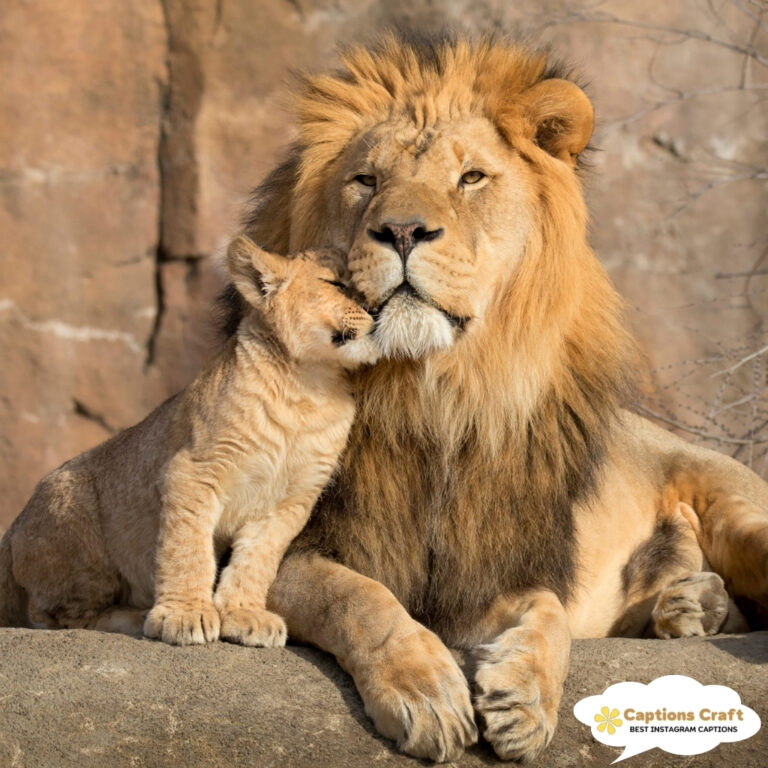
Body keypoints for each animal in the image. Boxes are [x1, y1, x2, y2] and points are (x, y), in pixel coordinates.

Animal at [0, 239, 378, 645]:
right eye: (335, 284)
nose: (377, 310)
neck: (310, 386)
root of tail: (11, 529)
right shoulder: (194, 470)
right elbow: (188, 548)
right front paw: (185, 615)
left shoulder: (290, 502)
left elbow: (257, 559)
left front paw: (244, 614)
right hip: (75, 520)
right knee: (53, 616)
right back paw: (134, 617)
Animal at [218, 32, 767, 763]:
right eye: (366, 181)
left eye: (470, 179)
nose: (401, 231)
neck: (434, 397)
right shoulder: (278, 547)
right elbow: (359, 597)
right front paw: (426, 692)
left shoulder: (494, 566)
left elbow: (549, 612)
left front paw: (524, 700)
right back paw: (687, 606)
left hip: (733, 504)